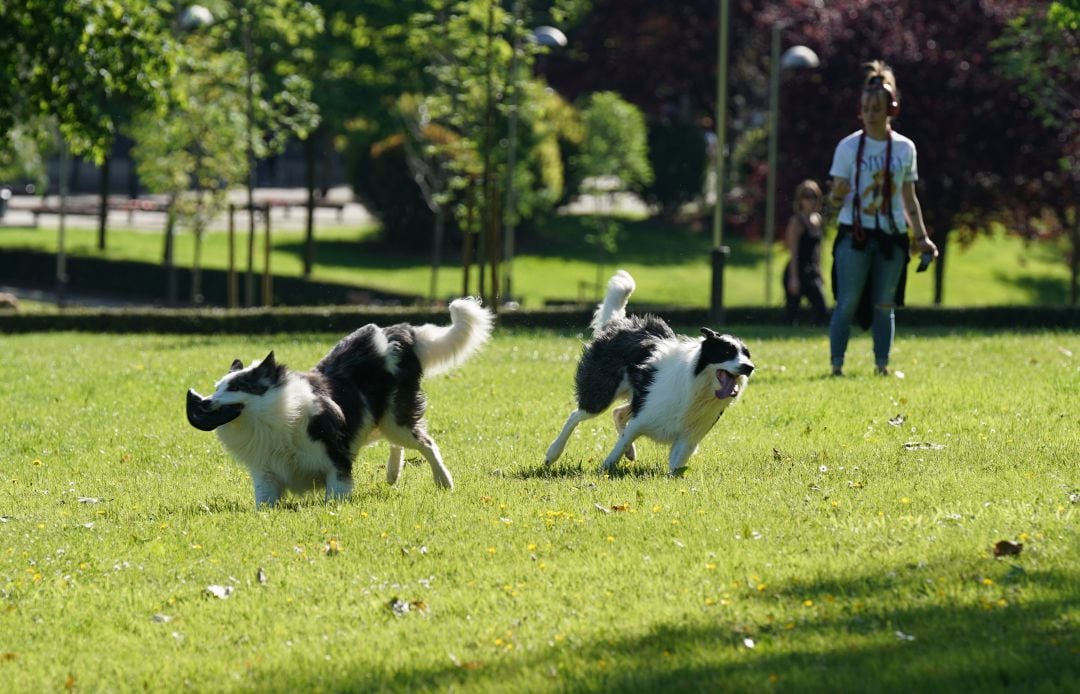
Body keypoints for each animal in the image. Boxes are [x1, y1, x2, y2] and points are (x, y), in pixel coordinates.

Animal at [186, 295, 494, 507]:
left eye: (236, 387)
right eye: (217, 388)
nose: (204, 403)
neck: (274, 417)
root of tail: (399, 331)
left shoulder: (335, 456)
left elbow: (336, 493)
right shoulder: (267, 473)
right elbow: (264, 503)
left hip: (396, 418)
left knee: (426, 442)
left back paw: (443, 481)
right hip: (378, 420)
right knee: (399, 442)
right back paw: (392, 474)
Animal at [544, 271, 756, 477]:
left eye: (747, 355)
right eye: (727, 352)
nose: (749, 367)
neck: (698, 387)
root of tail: (618, 323)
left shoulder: (689, 437)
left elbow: (676, 466)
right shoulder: (641, 418)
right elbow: (617, 450)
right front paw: (603, 471)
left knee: (618, 412)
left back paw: (630, 451)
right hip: (601, 390)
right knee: (577, 415)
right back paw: (553, 453)